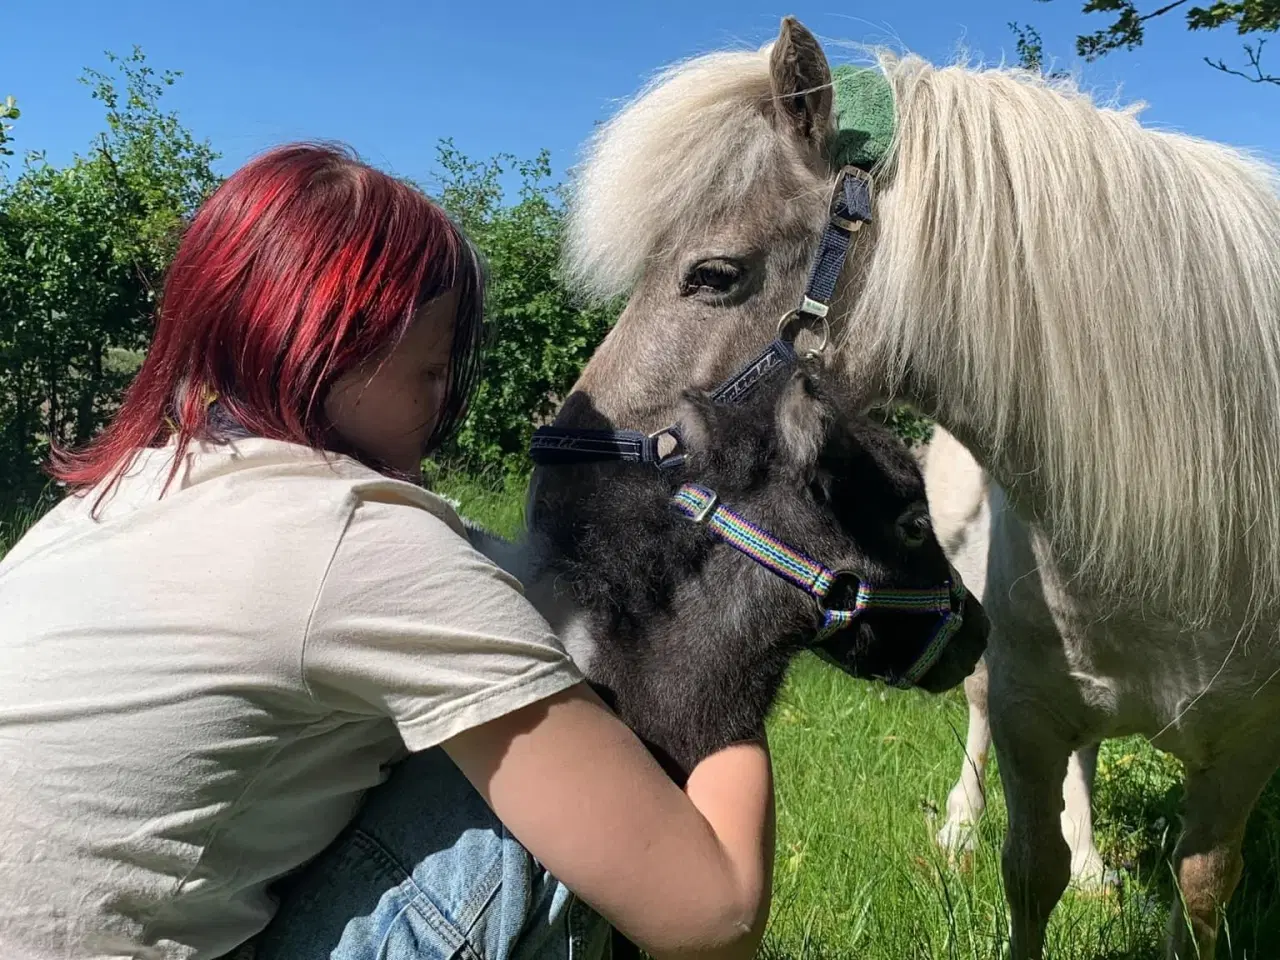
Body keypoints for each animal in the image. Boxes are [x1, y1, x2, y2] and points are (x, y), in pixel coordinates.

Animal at [527, 16, 1280, 960]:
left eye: (714, 275)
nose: (554, 503)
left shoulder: (1245, 751)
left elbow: (1200, 893)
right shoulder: (1028, 715)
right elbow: (1029, 870)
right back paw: (967, 831)